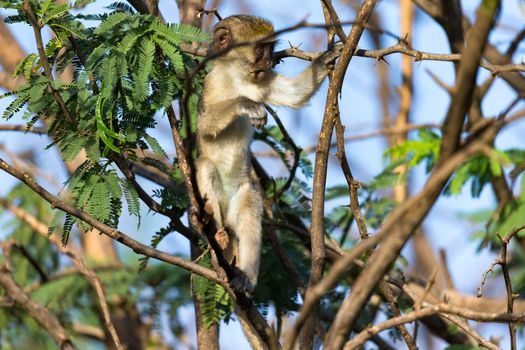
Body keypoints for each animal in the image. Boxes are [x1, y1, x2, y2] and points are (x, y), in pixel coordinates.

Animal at [196, 14, 340, 292]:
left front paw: (325, 58)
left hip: (242, 196)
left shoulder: (262, 81)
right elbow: (204, 125)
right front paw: (245, 104)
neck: (238, 78)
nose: (266, 62)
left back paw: (245, 277)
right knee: (205, 165)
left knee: (250, 210)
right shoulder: (211, 85)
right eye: (260, 49)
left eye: (270, 49)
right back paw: (217, 240)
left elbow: (294, 95)